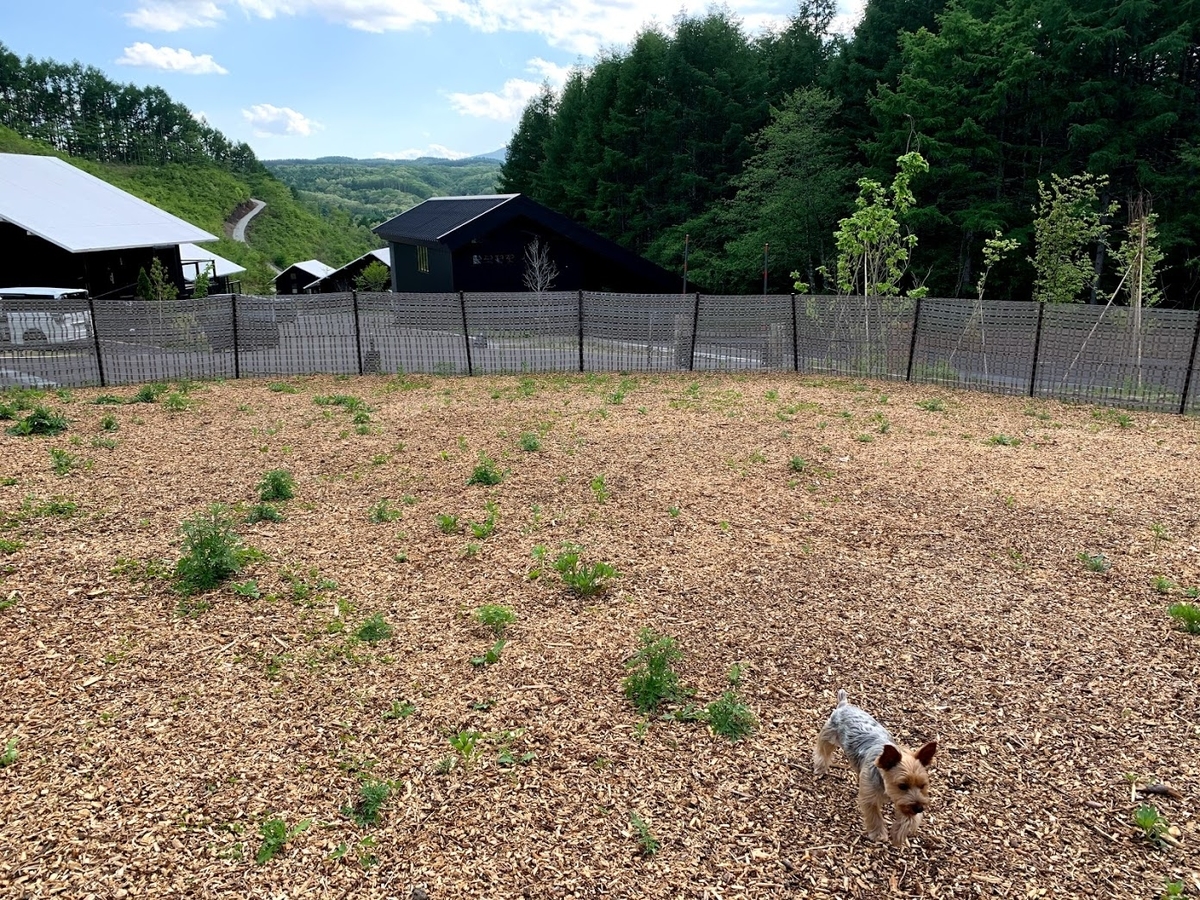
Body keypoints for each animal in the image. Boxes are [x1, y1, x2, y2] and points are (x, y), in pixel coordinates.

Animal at [816, 691, 936, 844]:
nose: (919, 808)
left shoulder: (904, 801)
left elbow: (908, 817)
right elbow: (874, 815)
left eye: (923, 785)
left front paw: (900, 833)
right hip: (829, 734)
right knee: (823, 750)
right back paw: (820, 767)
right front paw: (878, 834)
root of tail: (844, 705)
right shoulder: (870, 796)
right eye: (902, 786)